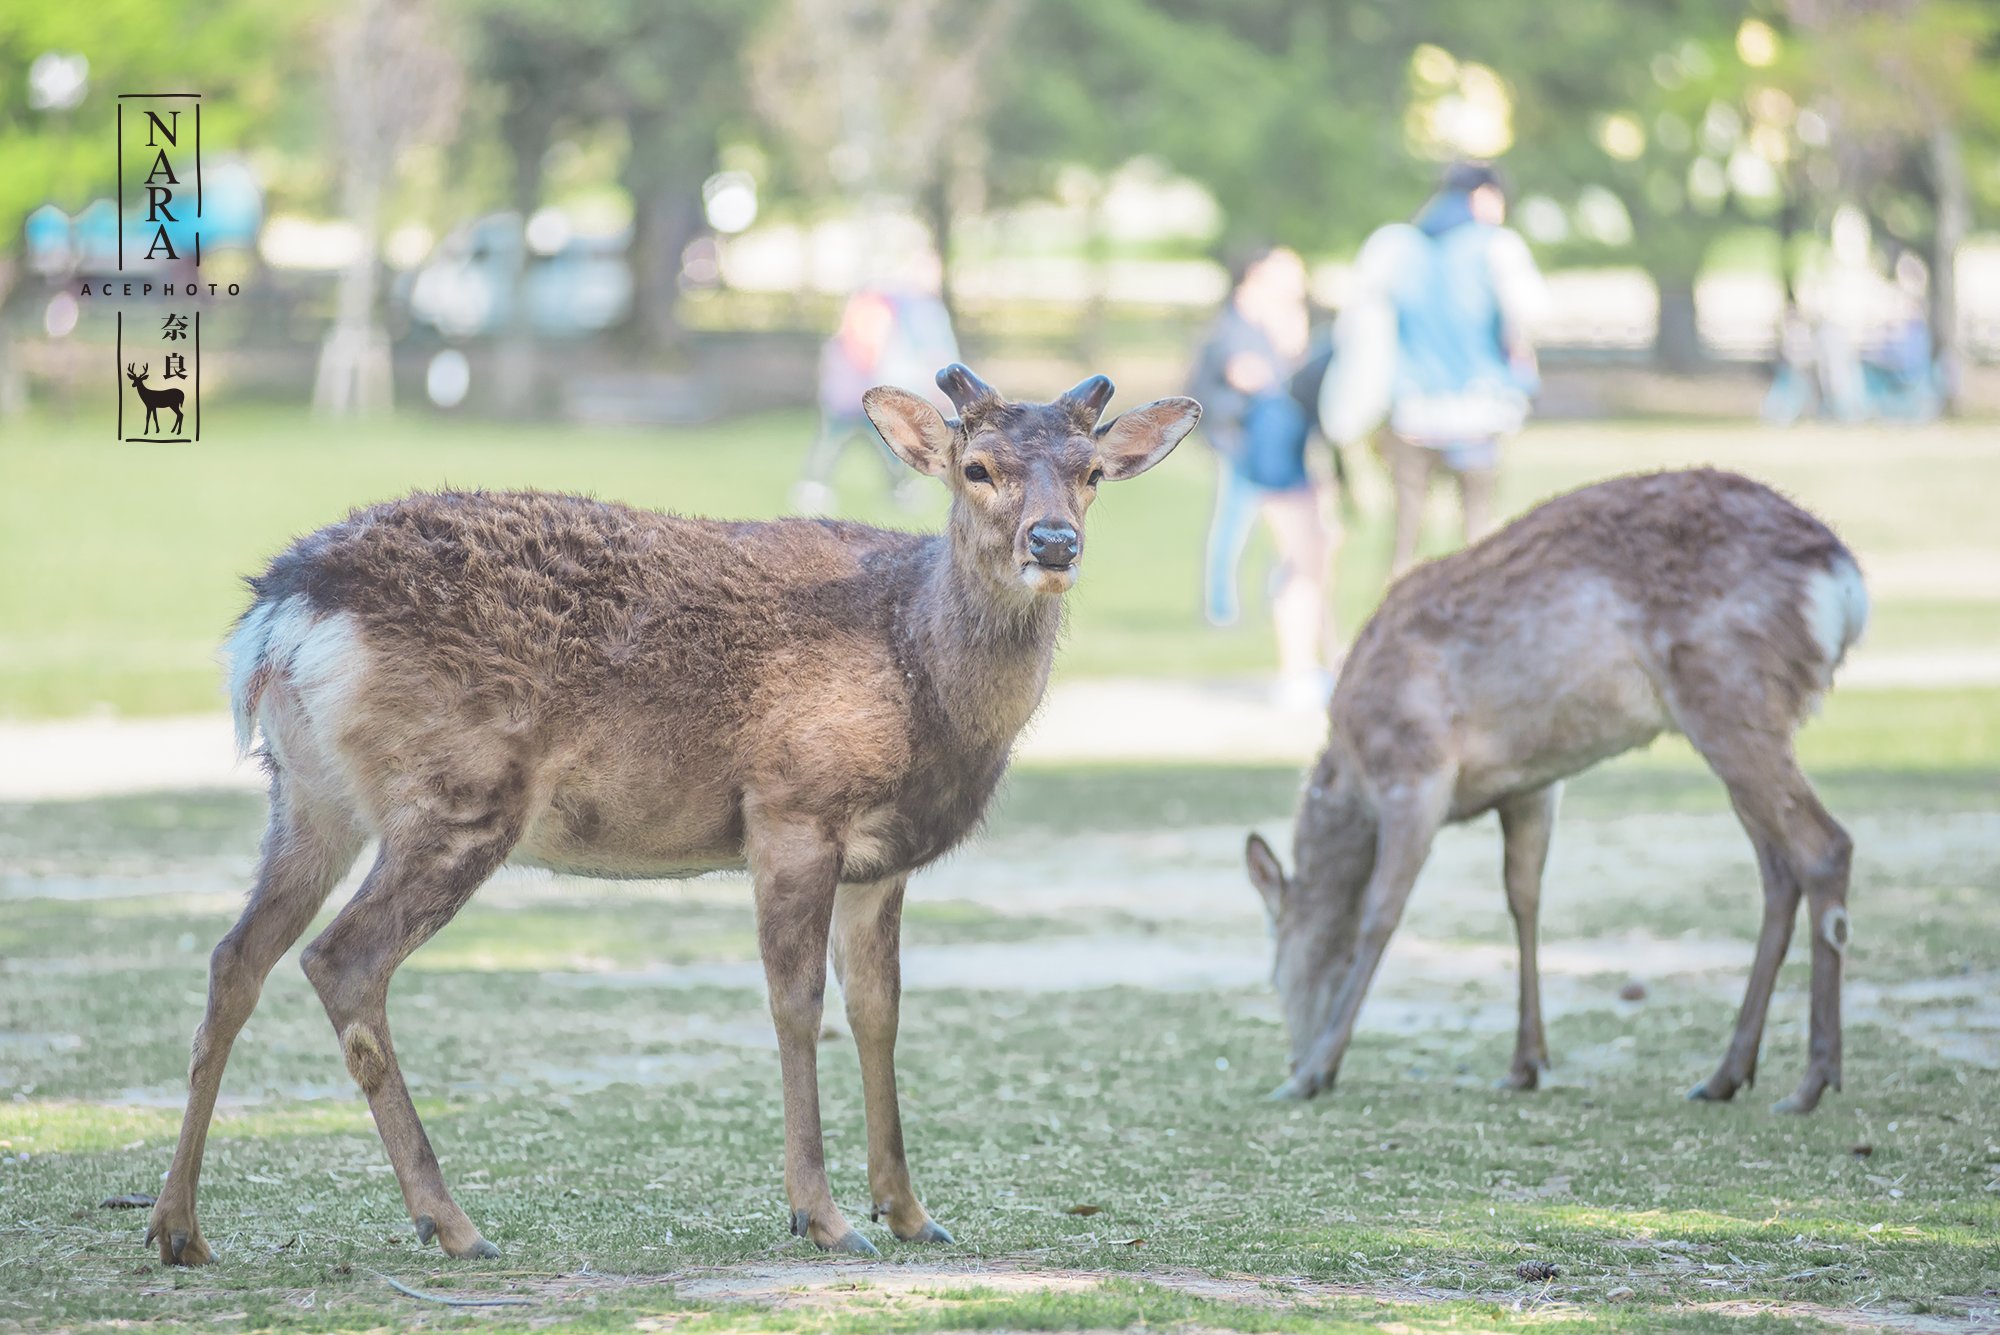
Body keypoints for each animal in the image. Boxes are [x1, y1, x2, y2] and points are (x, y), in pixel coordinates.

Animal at [152, 361, 1200, 1263]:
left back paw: (179, 1227)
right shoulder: (791, 808)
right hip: (459, 793)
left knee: (236, 955)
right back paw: (451, 1222)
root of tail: (278, 618)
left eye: (1092, 472)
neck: (921, 677)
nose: (1053, 544)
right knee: (341, 958)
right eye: (975, 468)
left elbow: (880, 1009)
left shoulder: (883, 859)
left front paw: (909, 1211)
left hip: (307, 796)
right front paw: (822, 1217)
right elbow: (796, 1002)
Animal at [1240, 469, 1864, 1119]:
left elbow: (1381, 913)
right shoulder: (1532, 785)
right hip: (1736, 724)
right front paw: (1525, 1064)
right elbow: (1524, 898)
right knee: (1778, 871)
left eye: (1273, 974)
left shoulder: (1416, 768)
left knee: (1824, 846)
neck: (1354, 766)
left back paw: (1812, 1081)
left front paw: (1315, 1071)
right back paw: (1724, 1075)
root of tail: (1845, 582)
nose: (1293, 1058)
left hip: (1730, 697)